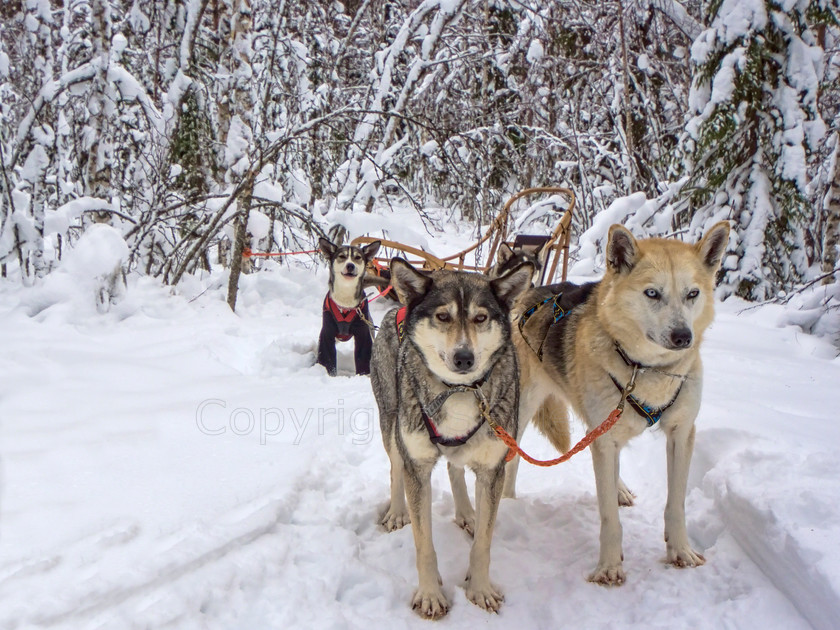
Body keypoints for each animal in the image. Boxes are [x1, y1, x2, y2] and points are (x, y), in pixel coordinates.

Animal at [316, 237, 380, 376]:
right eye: (342, 256)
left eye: (358, 257)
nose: (350, 265)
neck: (345, 301)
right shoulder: (327, 330)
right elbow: (326, 354)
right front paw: (330, 374)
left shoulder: (363, 332)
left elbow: (363, 355)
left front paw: (363, 375)